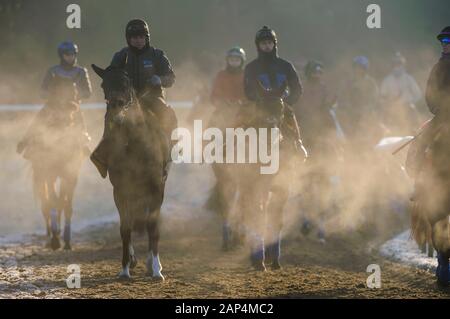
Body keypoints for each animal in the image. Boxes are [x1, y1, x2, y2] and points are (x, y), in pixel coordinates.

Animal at [90, 64, 170, 280]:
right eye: (103, 84)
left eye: (126, 81)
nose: (116, 108)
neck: (135, 144)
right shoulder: (120, 189)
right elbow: (126, 228)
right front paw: (125, 268)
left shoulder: (156, 188)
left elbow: (153, 225)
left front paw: (156, 268)